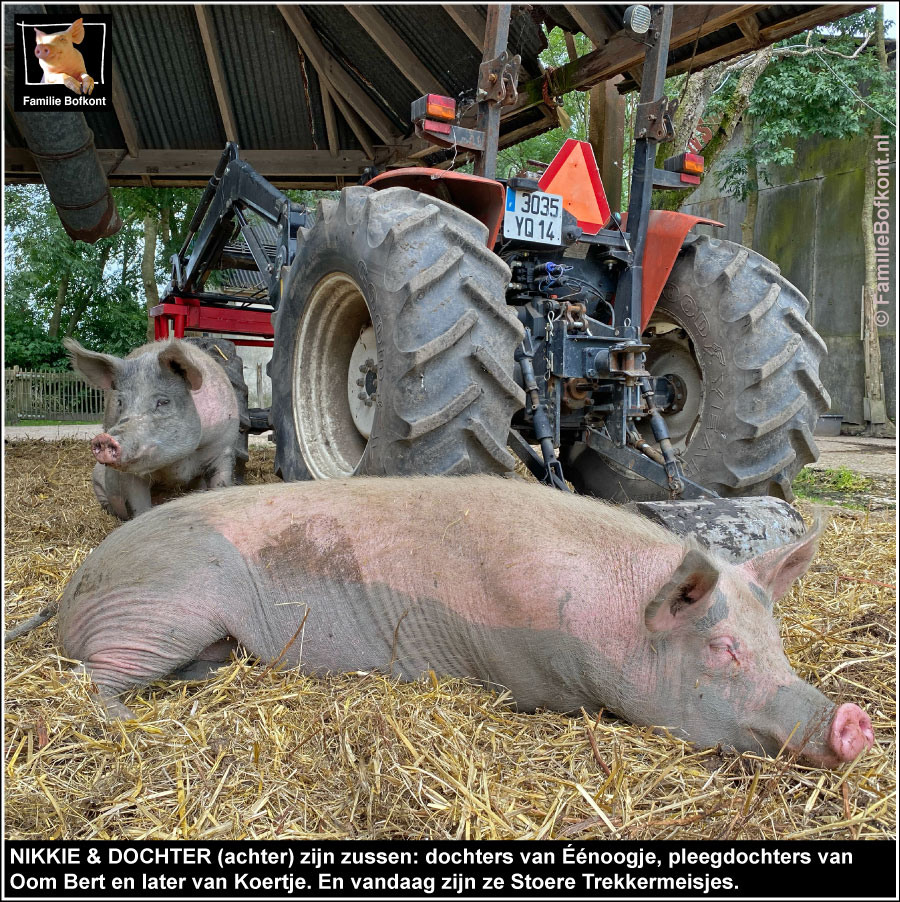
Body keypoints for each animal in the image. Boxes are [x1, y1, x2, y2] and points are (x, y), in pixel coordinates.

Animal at [56, 476, 872, 768]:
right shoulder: (531, 676)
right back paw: (130, 720)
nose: (852, 719)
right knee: (92, 681)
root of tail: (74, 584)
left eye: (777, 644)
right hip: (157, 610)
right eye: (725, 649)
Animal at [65, 340, 241, 524]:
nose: (104, 438)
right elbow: (138, 506)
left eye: (163, 402)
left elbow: (221, 485)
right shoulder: (130, 475)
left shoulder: (224, 447)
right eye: (120, 402)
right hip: (97, 480)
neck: (177, 463)